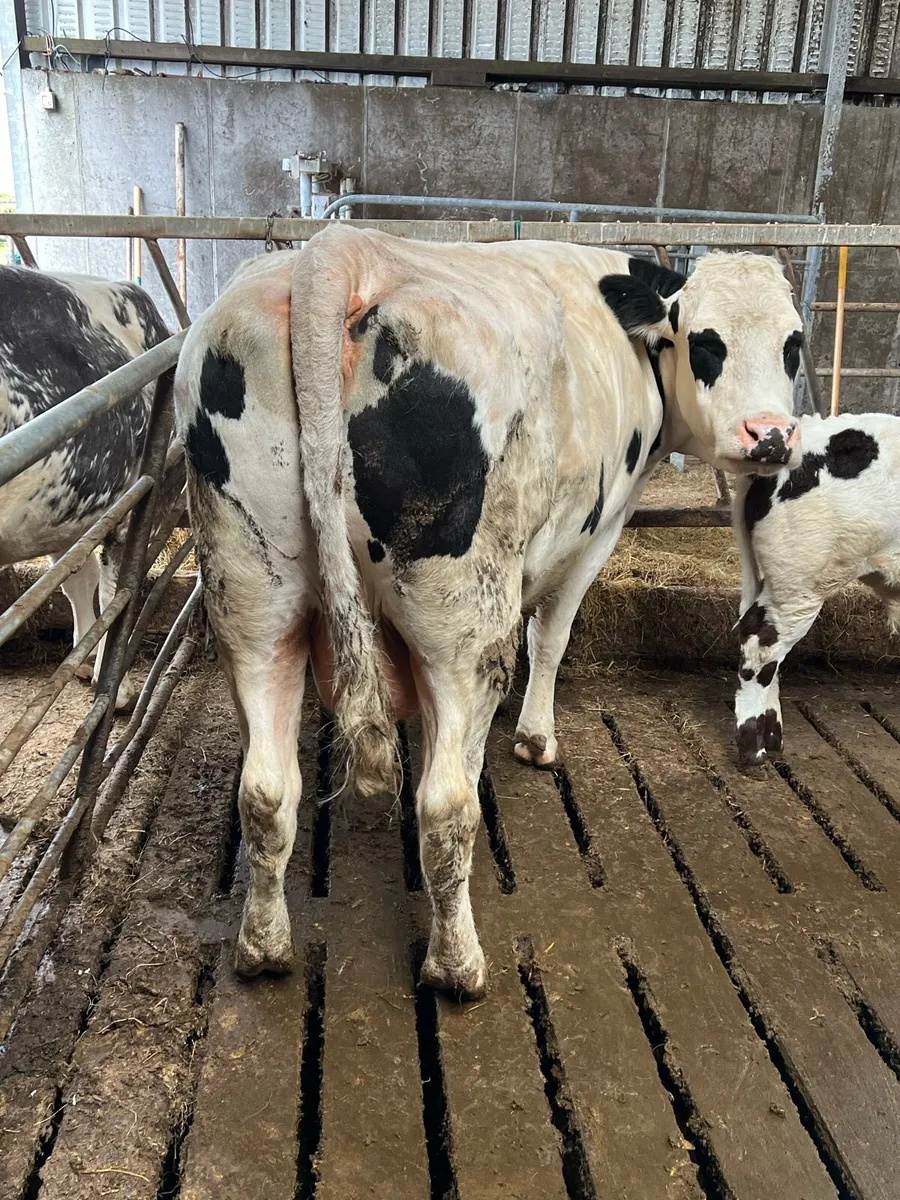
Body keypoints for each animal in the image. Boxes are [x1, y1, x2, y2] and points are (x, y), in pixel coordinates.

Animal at [174, 227, 803, 997]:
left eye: (794, 342)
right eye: (707, 341)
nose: (769, 436)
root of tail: (340, 250)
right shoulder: (601, 527)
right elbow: (552, 633)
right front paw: (536, 739)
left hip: (253, 600)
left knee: (264, 791)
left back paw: (263, 947)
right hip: (463, 625)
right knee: (446, 804)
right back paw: (458, 964)